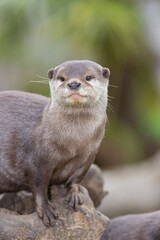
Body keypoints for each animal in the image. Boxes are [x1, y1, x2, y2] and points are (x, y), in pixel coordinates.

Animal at [0, 59, 110, 225]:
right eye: (62, 78)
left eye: (88, 77)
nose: (74, 84)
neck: (73, 143)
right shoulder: (37, 159)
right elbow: (38, 185)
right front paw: (45, 209)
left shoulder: (90, 154)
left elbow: (78, 176)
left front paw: (74, 193)